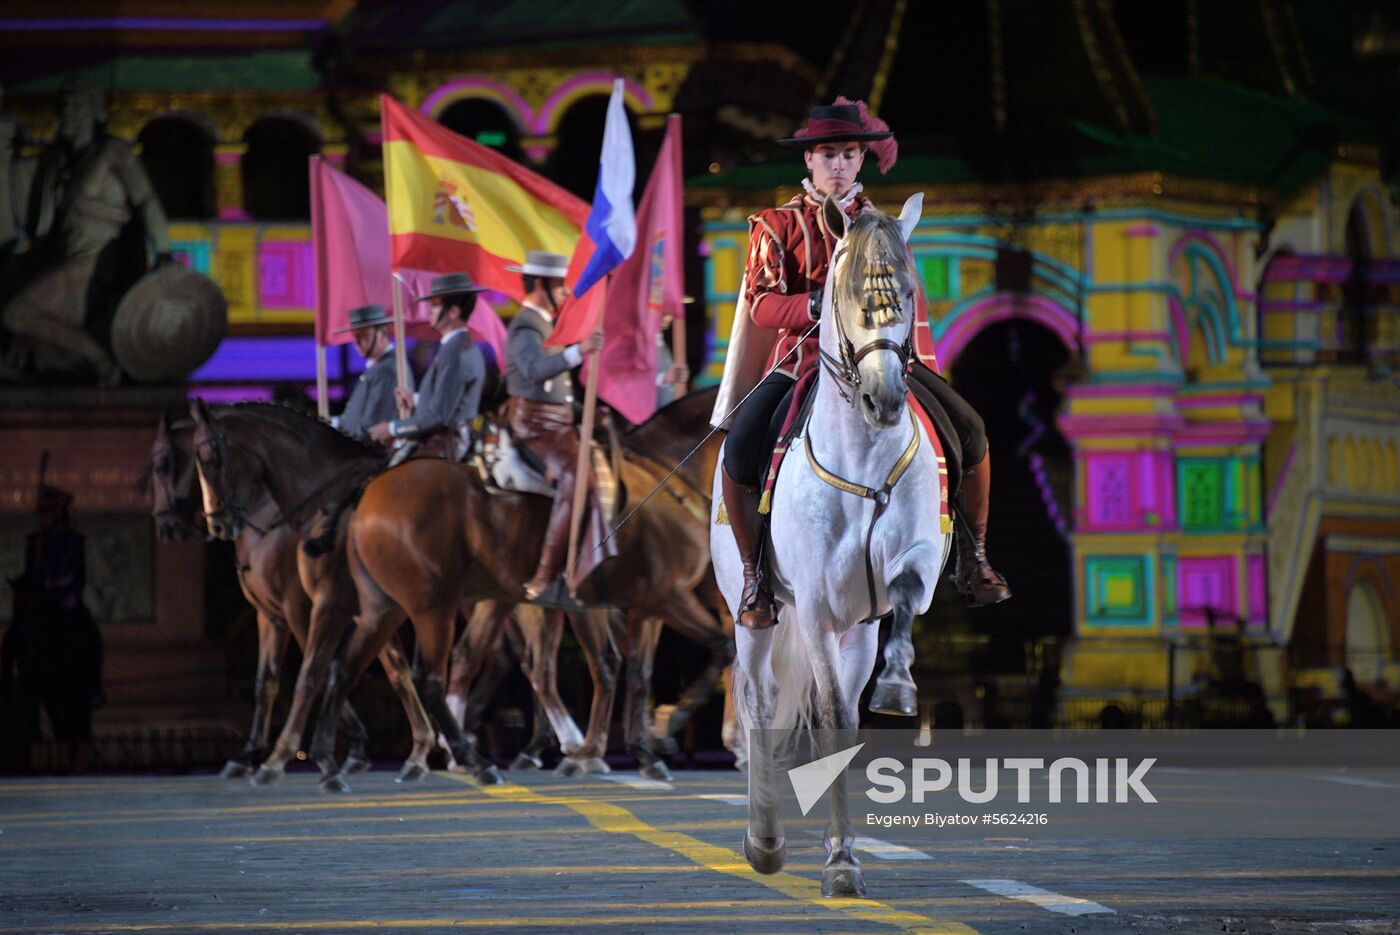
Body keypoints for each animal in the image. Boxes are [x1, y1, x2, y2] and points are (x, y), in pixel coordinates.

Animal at [711, 191, 952, 895]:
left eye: (907, 291)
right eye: (846, 295)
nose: (885, 398)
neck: (863, 459)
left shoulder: (900, 575)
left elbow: (907, 594)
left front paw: (897, 686)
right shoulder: (815, 607)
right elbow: (828, 720)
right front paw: (837, 861)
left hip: (854, 628)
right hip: (756, 613)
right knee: (759, 697)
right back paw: (763, 839)